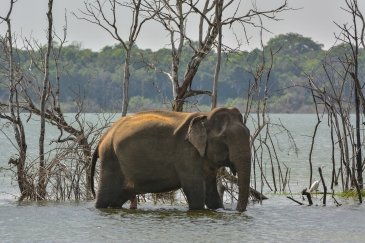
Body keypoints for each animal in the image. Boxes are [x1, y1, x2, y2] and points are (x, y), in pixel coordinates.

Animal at [90, 107, 250, 212]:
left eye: (249, 133)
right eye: (225, 138)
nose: (236, 211)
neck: (206, 116)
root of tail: (104, 136)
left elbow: (211, 194)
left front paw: (218, 208)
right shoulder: (186, 154)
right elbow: (195, 192)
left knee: (119, 197)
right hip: (110, 157)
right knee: (105, 197)